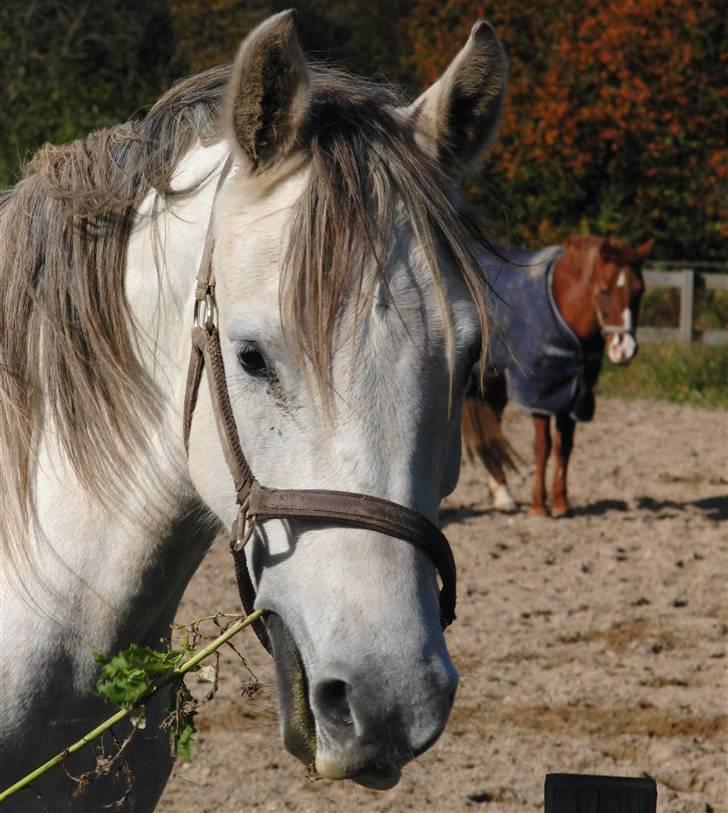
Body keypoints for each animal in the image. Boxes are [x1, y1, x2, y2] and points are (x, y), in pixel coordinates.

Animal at [466, 235, 656, 512]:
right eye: (604, 290)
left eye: (639, 291)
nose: (624, 350)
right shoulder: (541, 393)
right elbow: (542, 447)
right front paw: (538, 505)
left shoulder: (574, 394)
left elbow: (564, 446)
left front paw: (561, 502)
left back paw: (502, 493)